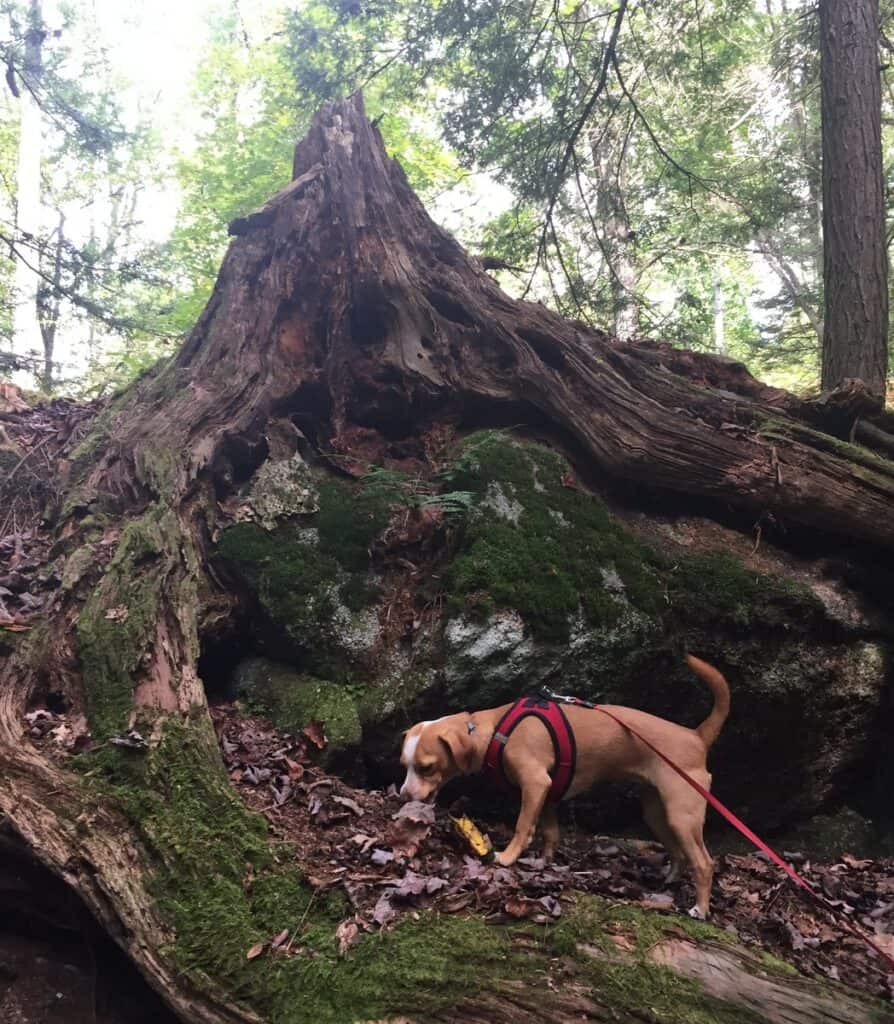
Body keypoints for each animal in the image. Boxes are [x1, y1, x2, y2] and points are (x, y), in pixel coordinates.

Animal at [401, 655, 729, 921]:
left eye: (426, 767)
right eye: (405, 764)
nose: (403, 796)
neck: (494, 729)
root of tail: (695, 736)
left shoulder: (535, 783)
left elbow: (523, 826)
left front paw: (508, 857)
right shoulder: (546, 794)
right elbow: (550, 832)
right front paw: (543, 862)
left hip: (682, 815)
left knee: (703, 862)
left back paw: (700, 909)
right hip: (657, 814)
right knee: (679, 853)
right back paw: (670, 879)